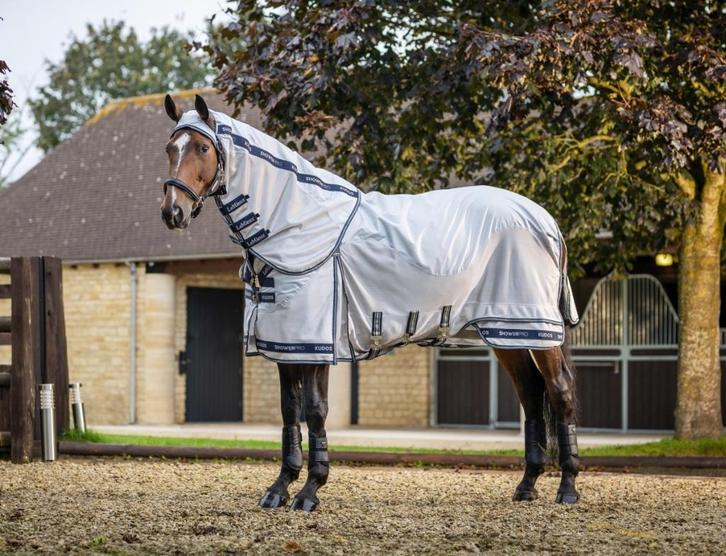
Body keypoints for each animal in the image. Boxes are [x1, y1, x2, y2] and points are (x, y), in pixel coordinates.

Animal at [160, 93, 581, 512]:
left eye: (202, 147)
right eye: (169, 148)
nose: (172, 212)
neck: (296, 223)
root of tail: (547, 221)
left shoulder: (316, 346)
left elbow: (315, 411)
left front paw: (310, 491)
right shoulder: (286, 347)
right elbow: (289, 410)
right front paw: (280, 488)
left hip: (536, 330)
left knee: (560, 391)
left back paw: (568, 488)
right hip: (507, 333)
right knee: (531, 394)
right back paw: (527, 486)